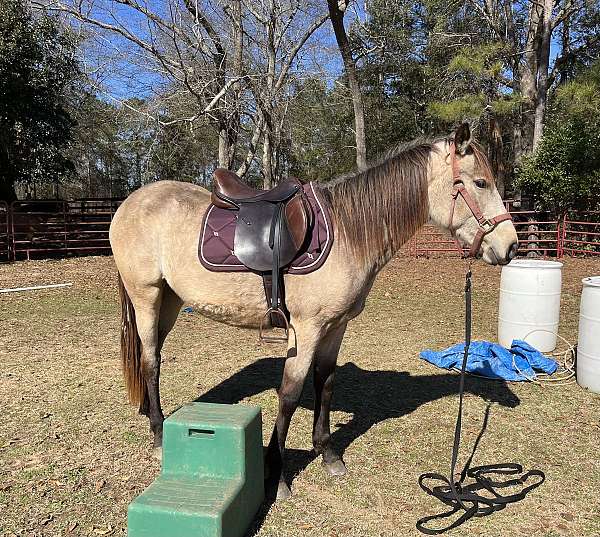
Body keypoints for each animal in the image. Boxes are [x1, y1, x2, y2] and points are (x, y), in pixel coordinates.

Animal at [109, 122, 520, 498]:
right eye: (480, 183)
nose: (511, 246)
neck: (349, 233)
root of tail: (129, 202)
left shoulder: (335, 328)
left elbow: (325, 383)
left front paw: (328, 454)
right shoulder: (305, 330)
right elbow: (290, 394)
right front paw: (277, 475)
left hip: (171, 300)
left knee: (152, 358)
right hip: (146, 296)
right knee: (150, 361)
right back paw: (159, 433)